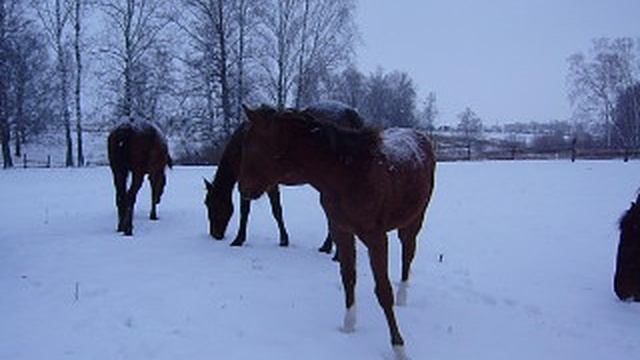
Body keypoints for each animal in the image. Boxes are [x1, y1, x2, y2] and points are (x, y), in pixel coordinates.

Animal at [206, 100, 364, 249]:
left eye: (211, 204)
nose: (215, 234)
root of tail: (349, 112)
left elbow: (250, 211)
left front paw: (239, 240)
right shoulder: (268, 183)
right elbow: (277, 210)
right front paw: (284, 240)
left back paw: (327, 247)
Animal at [238, 105, 438, 358]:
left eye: (251, 146)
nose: (243, 189)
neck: (347, 174)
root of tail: (421, 137)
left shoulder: (376, 238)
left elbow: (383, 291)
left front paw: (399, 347)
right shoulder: (342, 231)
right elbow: (348, 277)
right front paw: (348, 326)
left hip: (413, 221)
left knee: (407, 254)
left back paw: (403, 297)